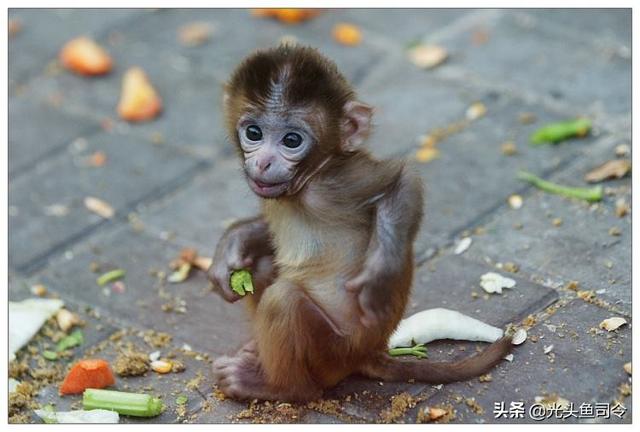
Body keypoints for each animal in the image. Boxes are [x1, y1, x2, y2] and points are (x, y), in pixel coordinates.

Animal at [209, 46, 510, 402]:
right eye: (253, 133)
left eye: (292, 140)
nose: (264, 161)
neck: (306, 183)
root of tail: (368, 353)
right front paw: (233, 243)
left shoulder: (339, 182)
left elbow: (401, 181)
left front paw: (379, 276)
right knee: (263, 266)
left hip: (332, 352)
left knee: (284, 301)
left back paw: (279, 387)